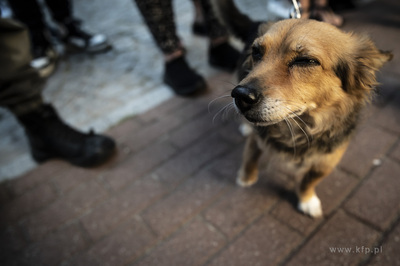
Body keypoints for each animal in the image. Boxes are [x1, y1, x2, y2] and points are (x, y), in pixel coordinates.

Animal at [222, 7, 394, 217]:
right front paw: (246, 178)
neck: (299, 127)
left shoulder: (328, 160)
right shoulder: (258, 139)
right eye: (256, 52)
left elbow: (308, 180)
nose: (240, 95)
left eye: (305, 61)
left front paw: (307, 200)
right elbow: (250, 157)